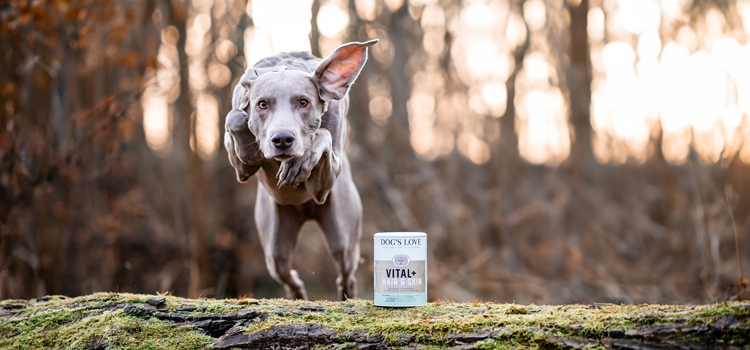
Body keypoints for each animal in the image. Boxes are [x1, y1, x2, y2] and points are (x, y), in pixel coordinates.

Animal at [222, 39, 376, 300]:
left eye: (304, 102)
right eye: (262, 104)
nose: (283, 139)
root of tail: (305, 212)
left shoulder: (324, 186)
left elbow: (322, 135)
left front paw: (299, 163)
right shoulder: (239, 169)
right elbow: (234, 118)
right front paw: (251, 150)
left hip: (343, 235)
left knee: (346, 272)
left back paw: (347, 295)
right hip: (274, 245)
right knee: (287, 274)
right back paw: (298, 296)